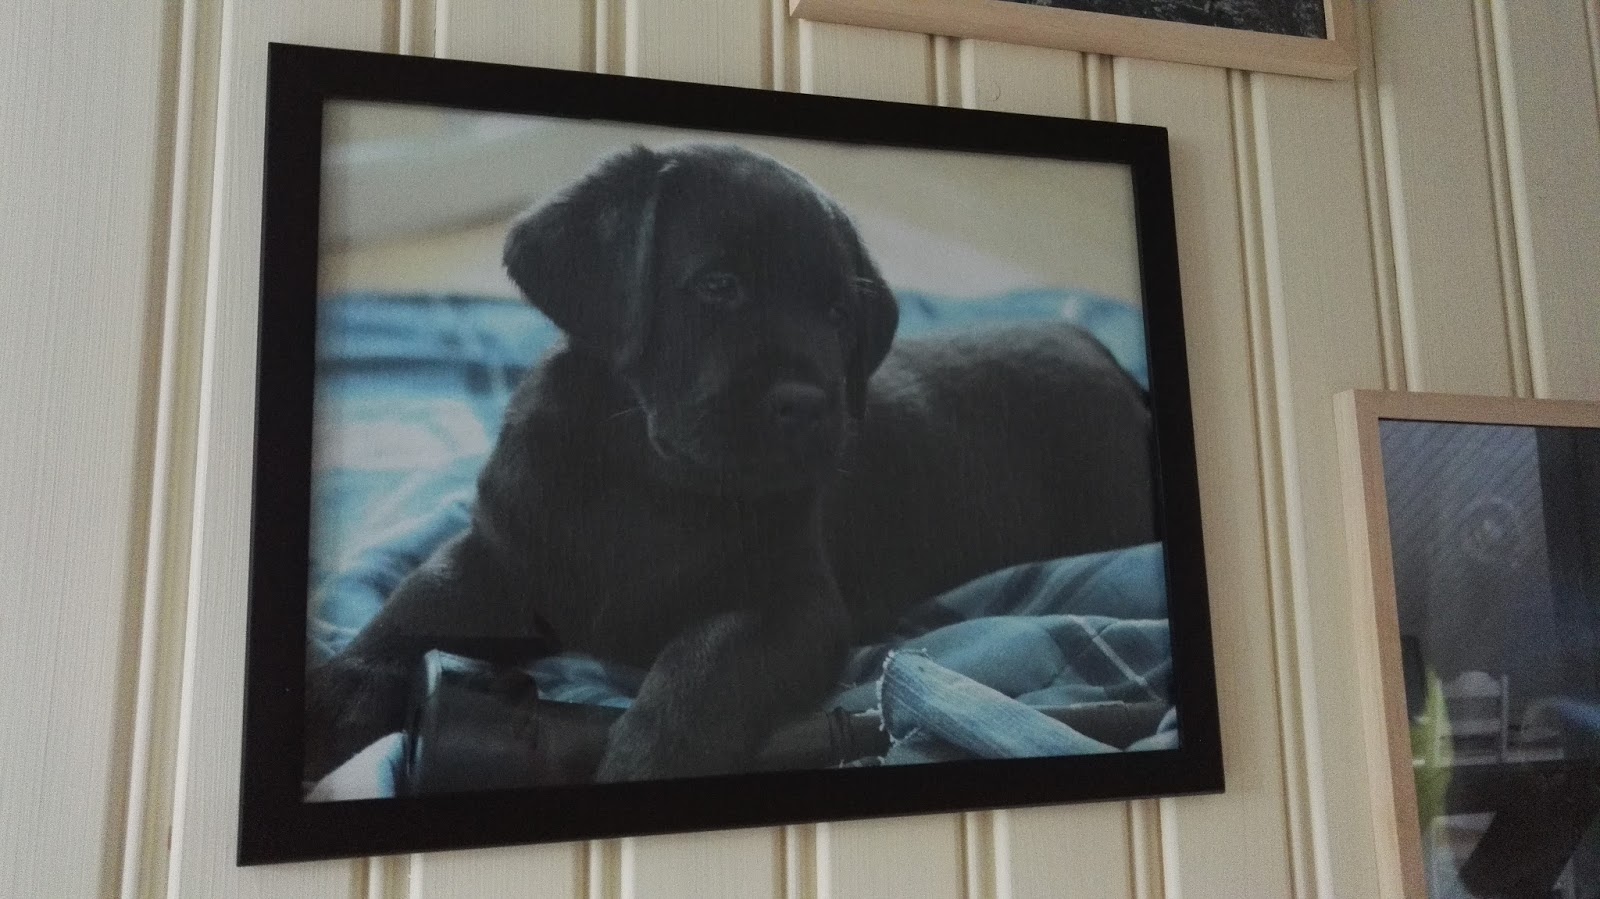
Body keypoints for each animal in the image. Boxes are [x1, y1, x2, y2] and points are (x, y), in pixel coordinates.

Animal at [304, 143, 1156, 785]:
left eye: (838, 312)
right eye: (718, 285)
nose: (808, 405)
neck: (647, 480)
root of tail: (1100, 351)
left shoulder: (793, 603)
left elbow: (705, 662)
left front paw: (645, 761)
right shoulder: (500, 551)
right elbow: (416, 606)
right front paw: (336, 697)